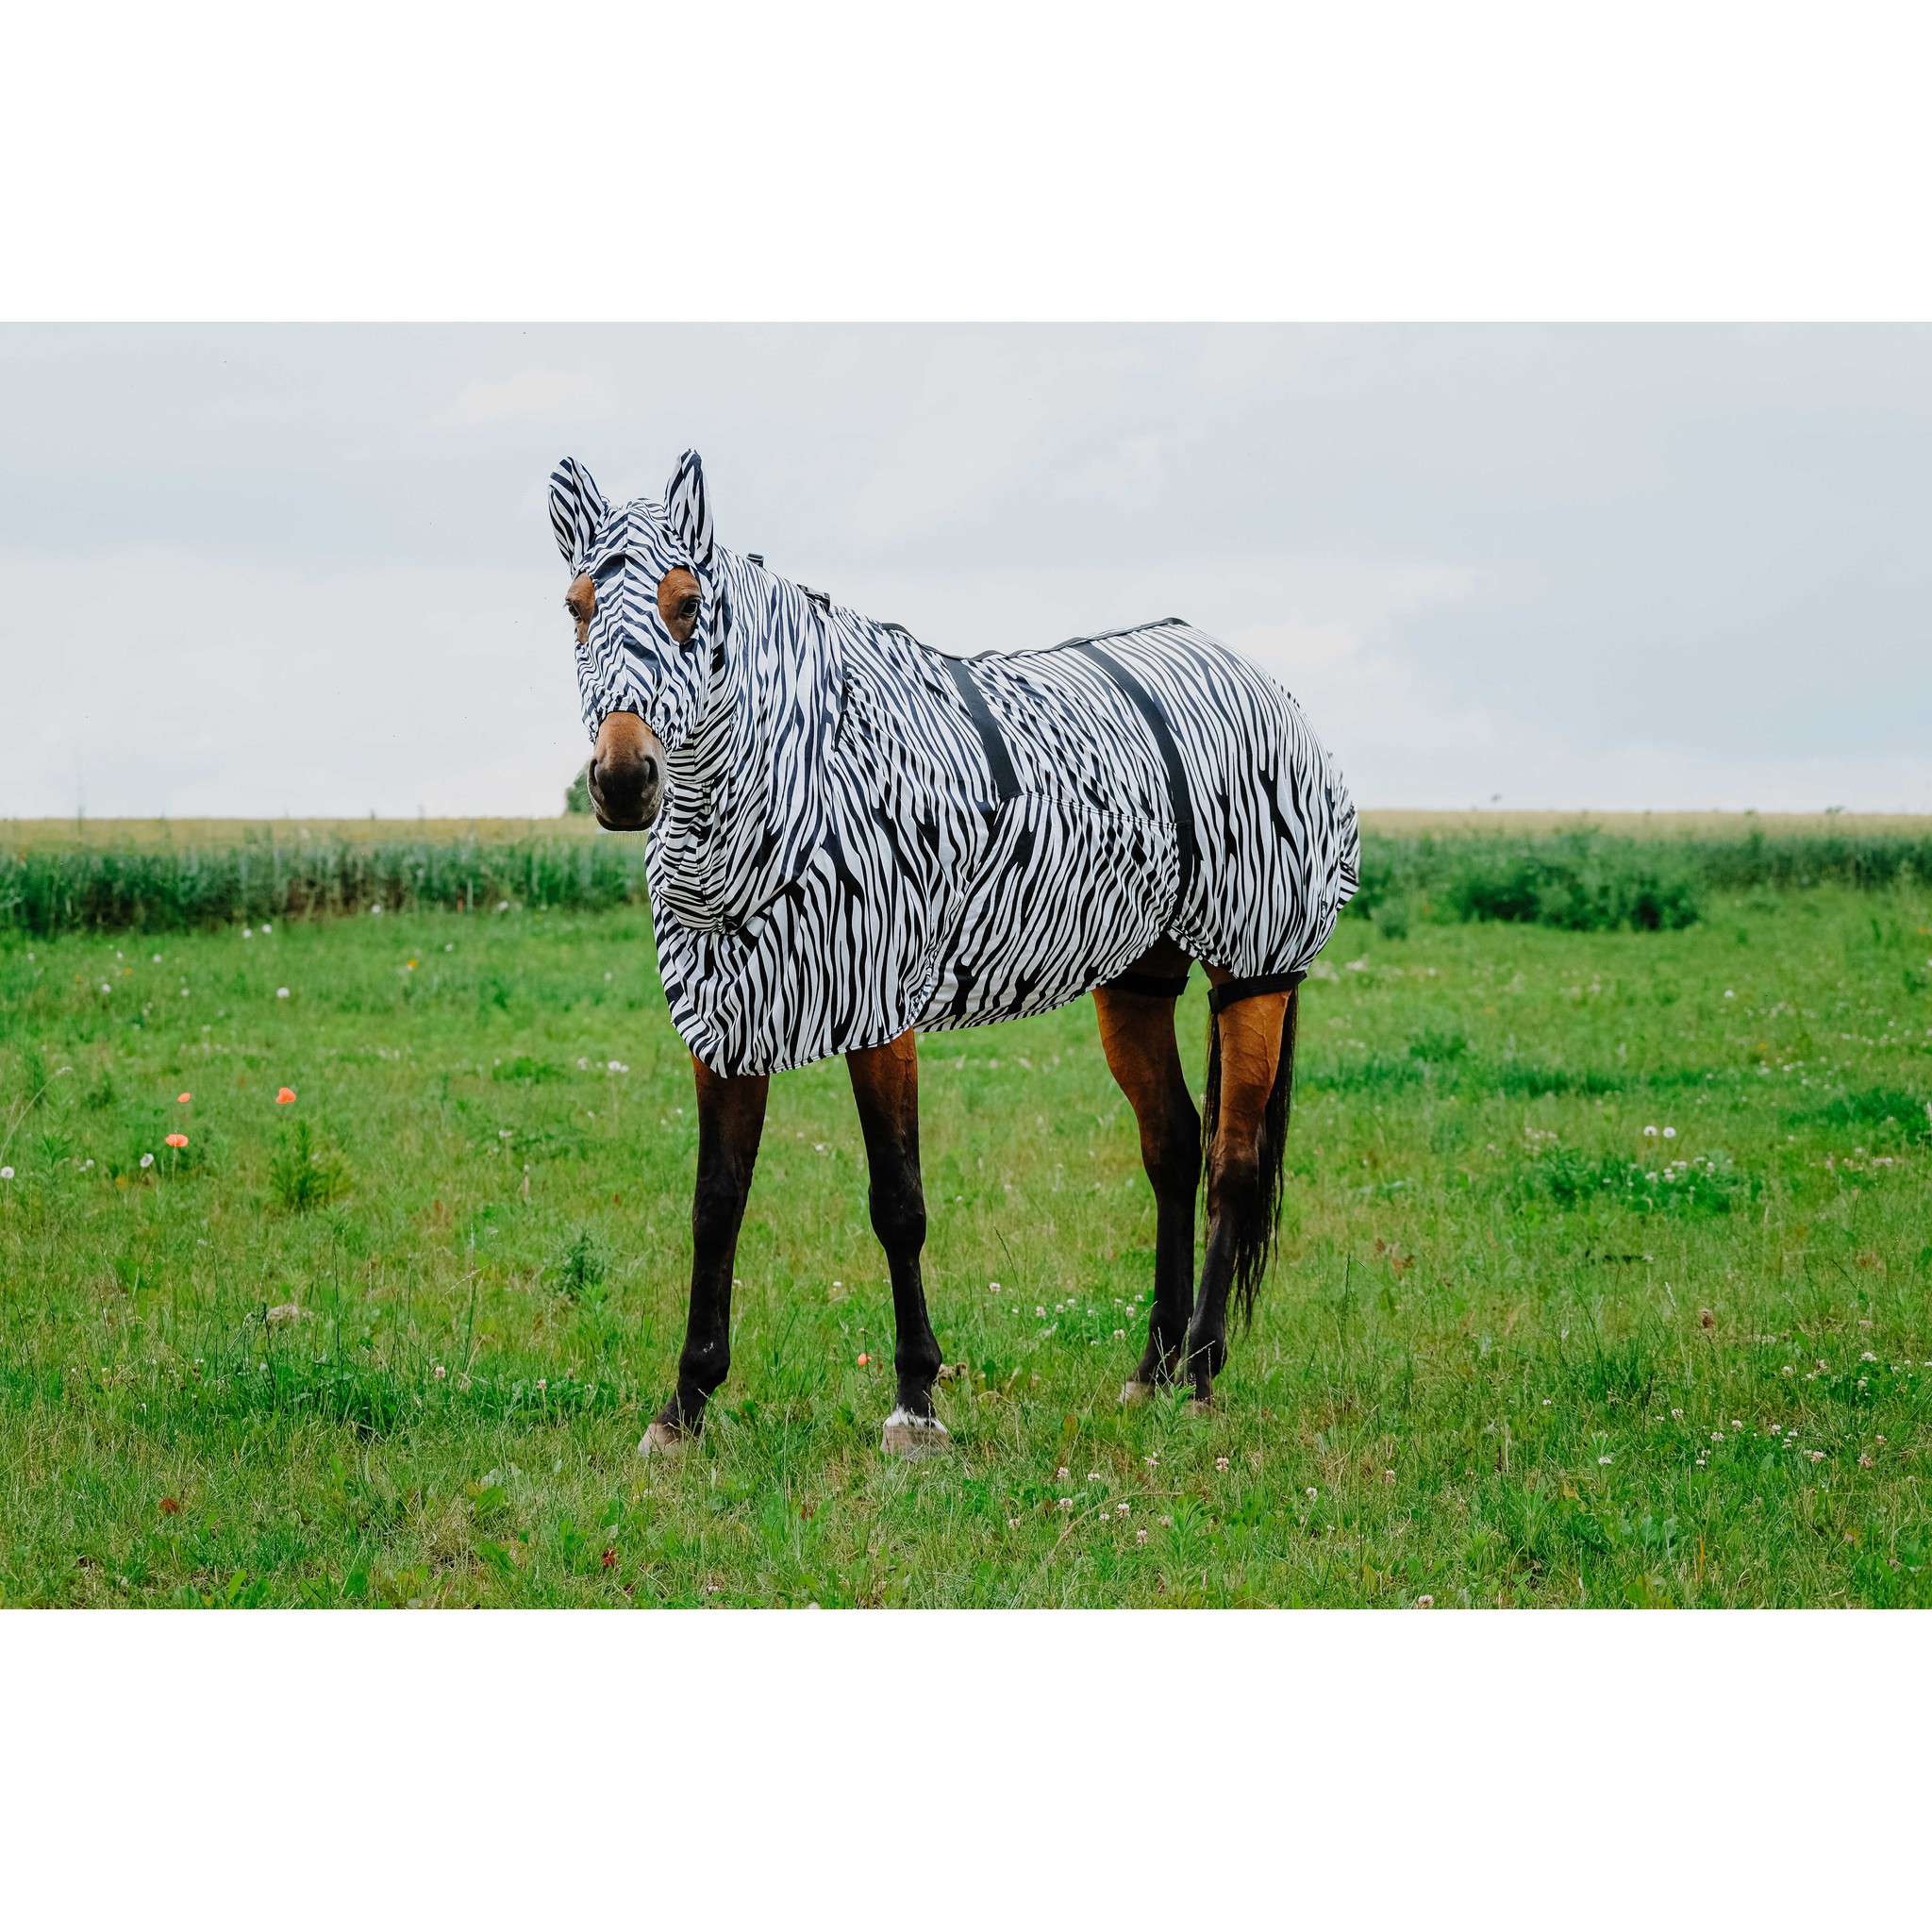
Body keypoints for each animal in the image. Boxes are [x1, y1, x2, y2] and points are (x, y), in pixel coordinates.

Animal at [549, 449, 1360, 1456]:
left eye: (688, 602)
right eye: (576, 605)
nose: (625, 781)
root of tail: (1255, 677)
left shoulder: (877, 1013)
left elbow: (897, 1204)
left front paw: (915, 1405)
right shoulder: (730, 1023)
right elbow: (715, 1207)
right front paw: (685, 1408)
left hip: (1255, 973)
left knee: (1233, 1165)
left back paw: (1204, 1376)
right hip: (1137, 980)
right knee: (1173, 1147)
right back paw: (1151, 1373)